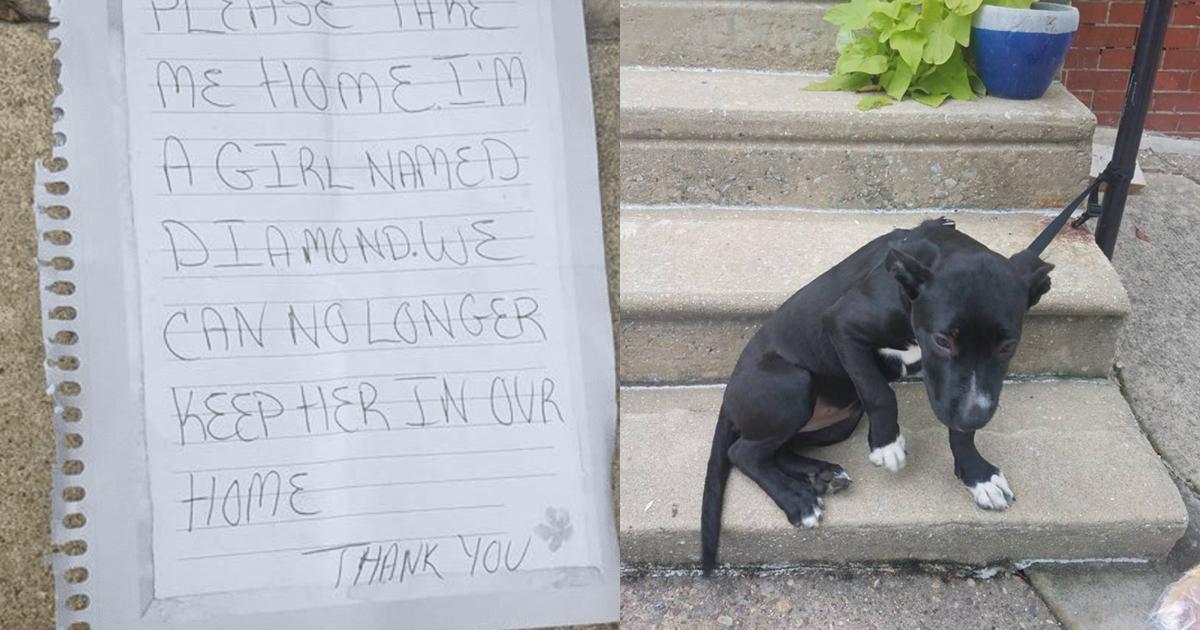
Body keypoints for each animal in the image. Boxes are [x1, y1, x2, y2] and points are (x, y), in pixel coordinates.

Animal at [699, 218, 1054, 573]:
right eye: (942, 341)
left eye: (1007, 346)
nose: (975, 416)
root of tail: (728, 396)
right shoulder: (841, 325)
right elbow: (879, 393)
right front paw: (887, 444)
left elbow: (960, 432)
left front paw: (977, 475)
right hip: (793, 386)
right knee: (743, 452)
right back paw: (796, 499)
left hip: (839, 422)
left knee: (776, 449)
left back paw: (822, 475)